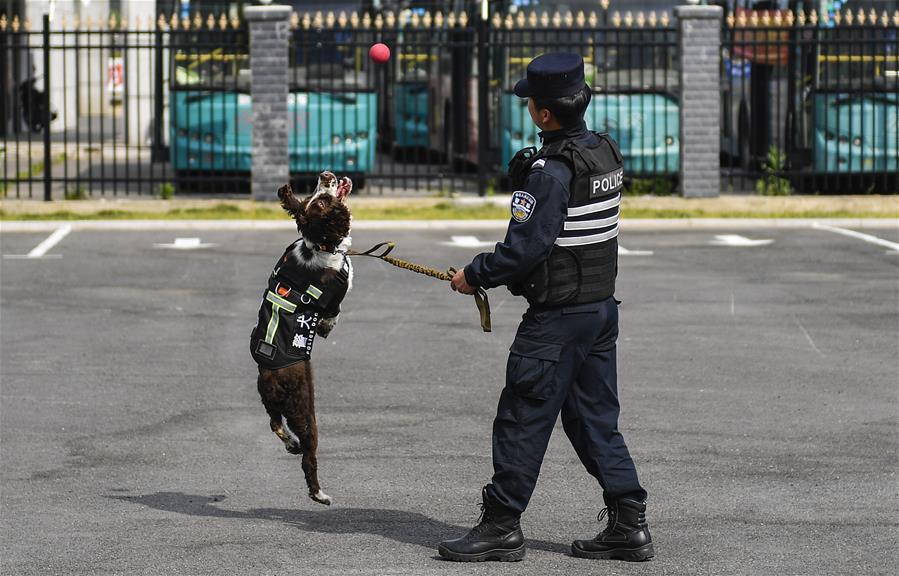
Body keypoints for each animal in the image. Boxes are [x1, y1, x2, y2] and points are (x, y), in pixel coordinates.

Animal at [253, 173, 356, 506]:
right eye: (321, 199)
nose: (326, 175)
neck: (319, 244)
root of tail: (270, 377)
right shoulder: (338, 291)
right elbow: (333, 313)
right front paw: (325, 327)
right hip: (303, 408)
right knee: (308, 456)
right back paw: (319, 494)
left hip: (270, 401)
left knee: (274, 423)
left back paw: (290, 444)